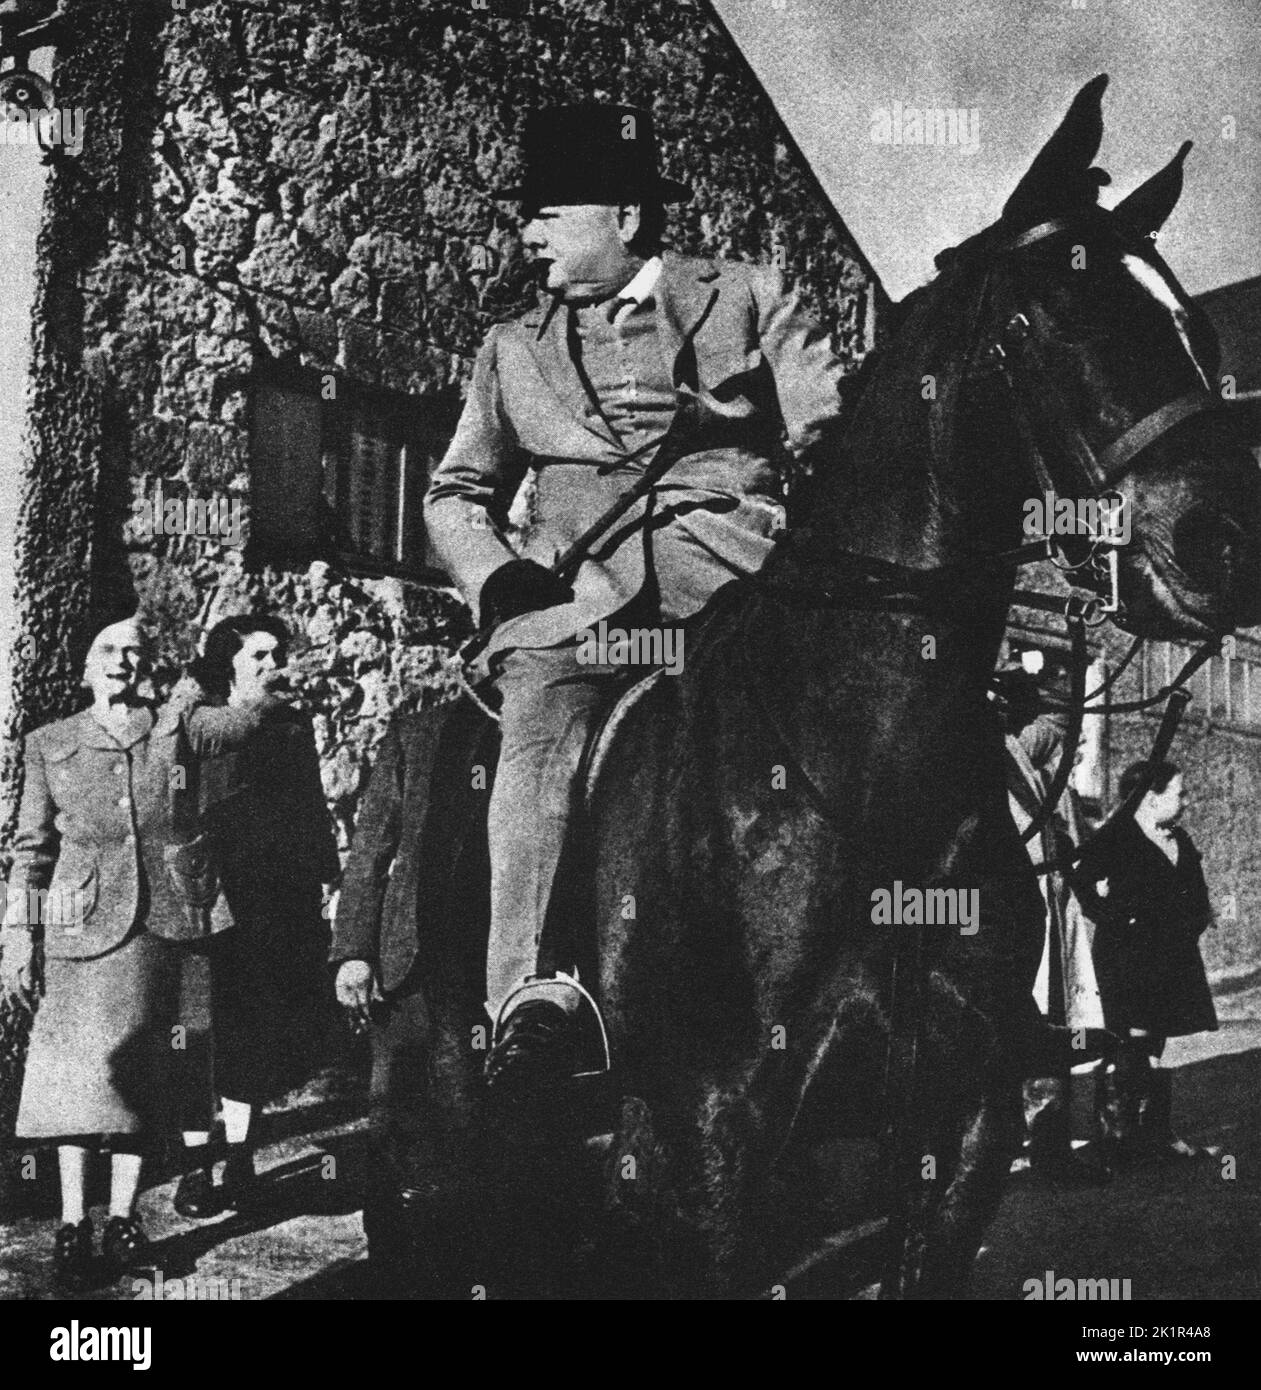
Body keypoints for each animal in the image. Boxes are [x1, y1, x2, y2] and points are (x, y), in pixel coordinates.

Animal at [389, 78, 1256, 1301]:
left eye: (1192, 328)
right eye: (1042, 321)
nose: (1228, 541)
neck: (861, 780)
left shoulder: (958, 1125)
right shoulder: (710, 1143)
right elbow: (460, 481)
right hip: (481, 1086)